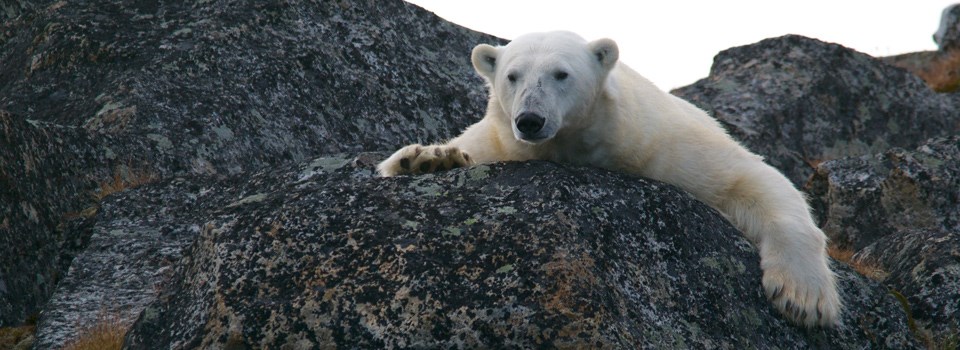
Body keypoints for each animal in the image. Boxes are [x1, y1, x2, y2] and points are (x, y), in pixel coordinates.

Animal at [376, 30, 840, 328]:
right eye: (512, 75)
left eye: (561, 73)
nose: (529, 119)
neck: (579, 145)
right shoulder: (499, 140)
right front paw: (427, 159)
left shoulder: (664, 144)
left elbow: (751, 178)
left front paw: (803, 298)